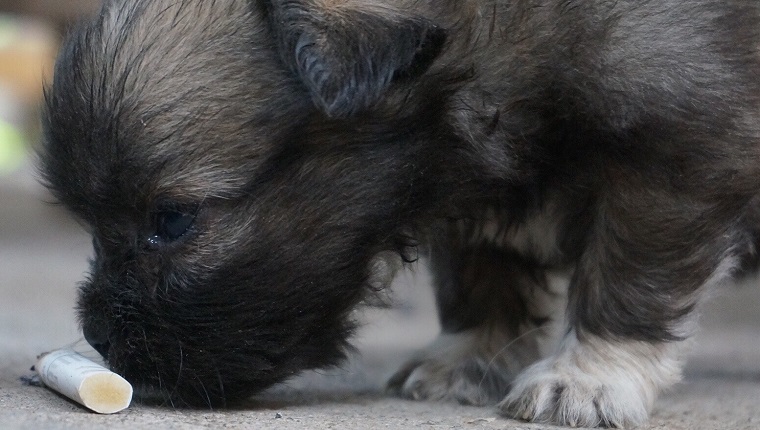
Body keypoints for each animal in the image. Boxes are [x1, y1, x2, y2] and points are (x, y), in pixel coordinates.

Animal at [41, 0, 760, 426]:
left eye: (171, 220)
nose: (98, 336)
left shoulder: (671, 156)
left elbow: (631, 279)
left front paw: (588, 377)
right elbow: (480, 277)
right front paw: (469, 357)